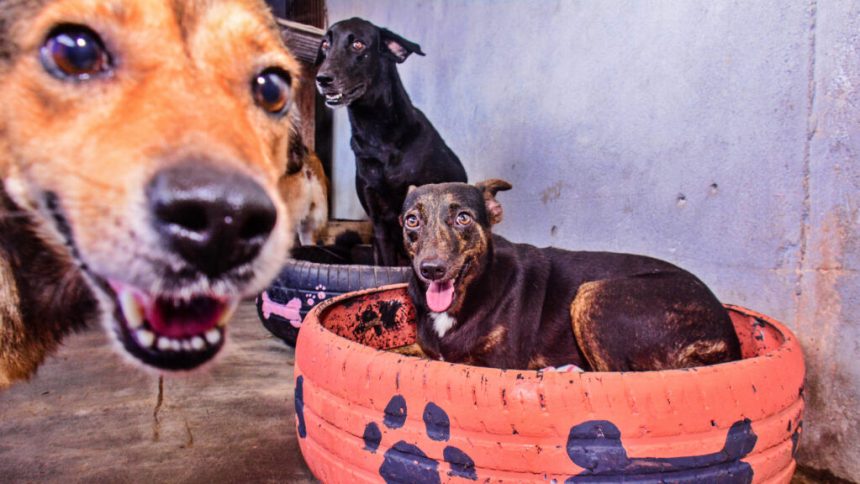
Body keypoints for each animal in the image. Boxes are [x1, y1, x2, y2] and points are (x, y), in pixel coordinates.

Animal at [400, 181, 744, 370]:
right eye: (412, 220)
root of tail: (730, 345)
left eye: (463, 218)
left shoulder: (499, 363)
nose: (431, 269)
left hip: (594, 294)